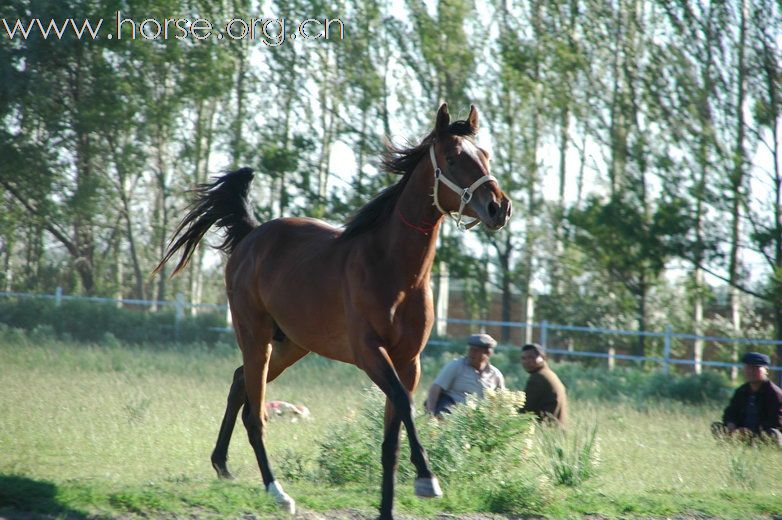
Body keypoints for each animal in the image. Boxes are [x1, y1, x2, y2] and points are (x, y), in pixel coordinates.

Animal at [155, 103, 516, 516]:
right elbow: (405, 405)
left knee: (239, 382)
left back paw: (222, 464)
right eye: (454, 158)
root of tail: (252, 234)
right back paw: (276, 490)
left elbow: (392, 436)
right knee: (255, 413)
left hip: (291, 345)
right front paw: (427, 479)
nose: (499, 207)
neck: (395, 270)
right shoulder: (370, 353)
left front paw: (388, 506)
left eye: (484, 155)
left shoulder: (408, 361)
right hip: (256, 337)